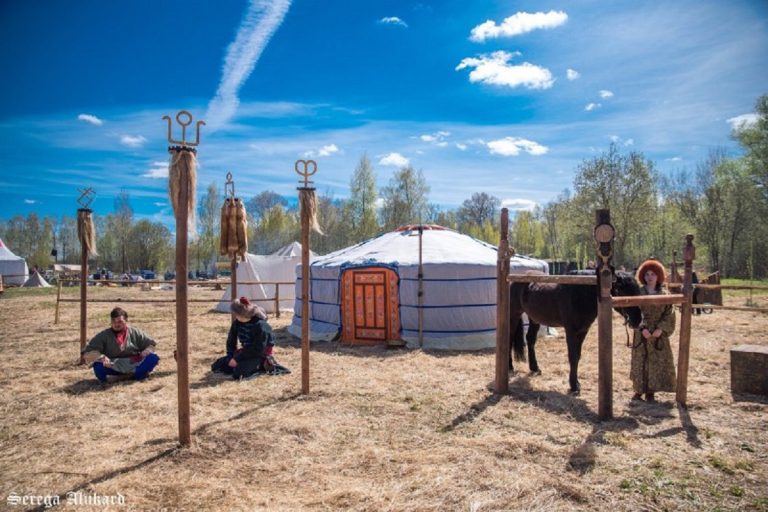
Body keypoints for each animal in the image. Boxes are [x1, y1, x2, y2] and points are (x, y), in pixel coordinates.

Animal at [510, 270, 640, 394]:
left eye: (638, 291)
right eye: (622, 292)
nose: (638, 320)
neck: (580, 295)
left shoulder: (583, 331)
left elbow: (577, 356)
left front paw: (576, 383)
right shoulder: (571, 331)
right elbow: (573, 356)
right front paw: (574, 386)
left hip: (534, 319)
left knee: (530, 339)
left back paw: (535, 368)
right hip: (514, 314)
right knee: (510, 339)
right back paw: (510, 368)